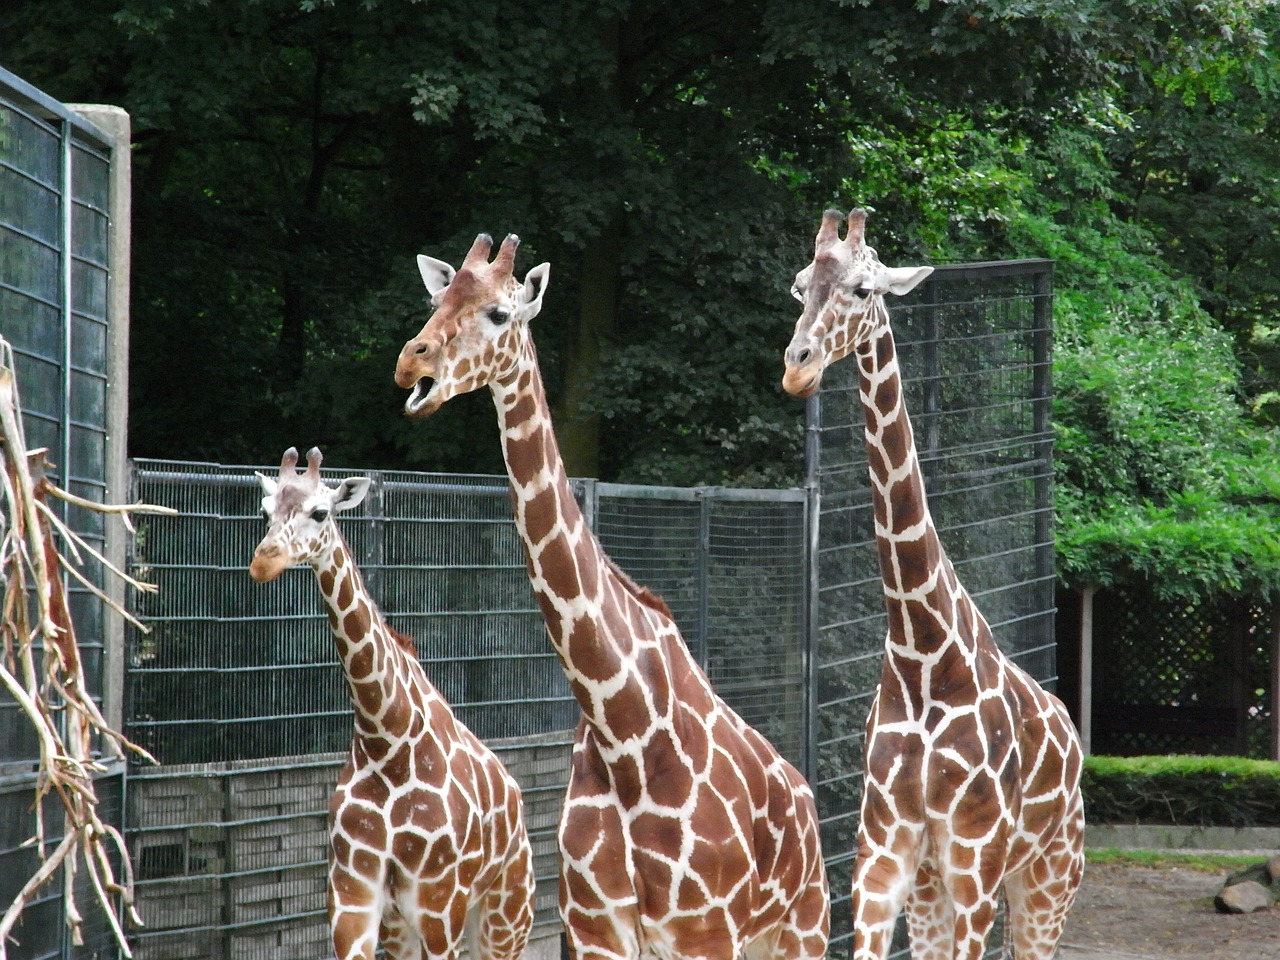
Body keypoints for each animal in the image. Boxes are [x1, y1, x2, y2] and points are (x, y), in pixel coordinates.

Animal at [249, 448, 535, 960]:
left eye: (320, 512)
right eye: (264, 512)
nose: (264, 563)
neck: (386, 740)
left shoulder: (441, 902)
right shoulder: (353, 895)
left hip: (506, 917)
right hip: (407, 924)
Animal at [389, 236, 829, 960]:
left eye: (499, 314)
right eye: (437, 299)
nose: (410, 362)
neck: (624, 733)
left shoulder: (703, 931)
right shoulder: (598, 928)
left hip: (799, 930)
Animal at [778, 212, 1080, 960]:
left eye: (862, 289)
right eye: (800, 284)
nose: (797, 365)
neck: (923, 655)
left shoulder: (976, 863)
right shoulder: (883, 858)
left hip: (1046, 880)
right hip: (933, 889)